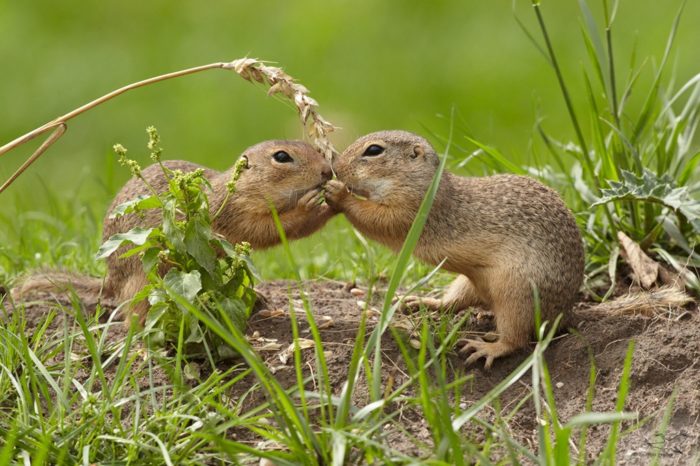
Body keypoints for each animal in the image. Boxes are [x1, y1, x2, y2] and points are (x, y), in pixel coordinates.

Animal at [13, 140, 336, 322]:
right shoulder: (239, 212)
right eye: (282, 157)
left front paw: (333, 199)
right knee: (135, 314)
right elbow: (271, 229)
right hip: (148, 276)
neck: (240, 187)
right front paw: (312, 204)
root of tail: (111, 280)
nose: (327, 171)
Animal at [328, 130, 584, 368]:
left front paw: (337, 193)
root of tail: (564, 312)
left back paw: (488, 348)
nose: (335, 168)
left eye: (374, 150)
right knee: (455, 303)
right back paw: (421, 302)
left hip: (517, 292)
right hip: (470, 281)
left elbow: (378, 220)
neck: (424, 183)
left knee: (517, 337)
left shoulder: (413, 211)